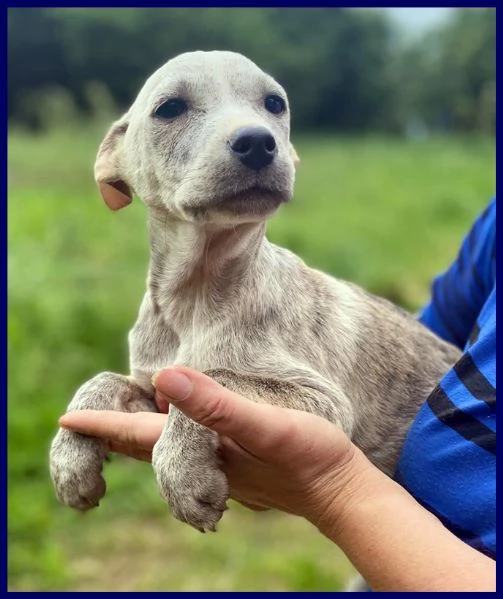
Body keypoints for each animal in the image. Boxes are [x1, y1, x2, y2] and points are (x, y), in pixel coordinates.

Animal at [50, 51, 460, 536]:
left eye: (274, 104)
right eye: (169, 108)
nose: (258, 142)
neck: (196, 300)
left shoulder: (322, 400)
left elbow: (216, 376)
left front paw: (182, 472)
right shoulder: (153, 388)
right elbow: (102, 380)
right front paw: (69, 457)